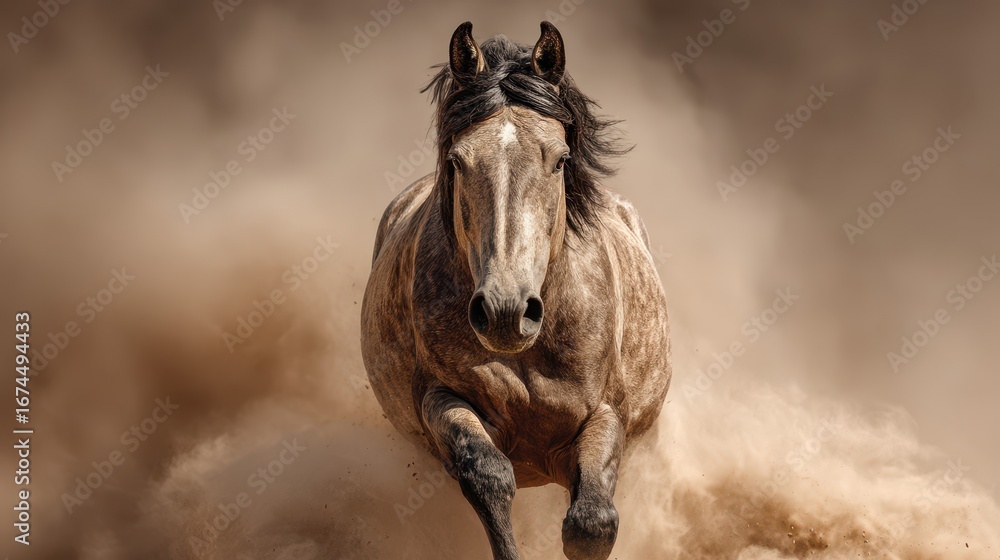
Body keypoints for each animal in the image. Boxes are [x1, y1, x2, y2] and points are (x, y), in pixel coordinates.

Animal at [361, 21, 671, 560]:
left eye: (561, 160)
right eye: (456, 160)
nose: (506, 312)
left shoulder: (607, 413)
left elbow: (591, 523)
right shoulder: (440, 398)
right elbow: (487, 475)